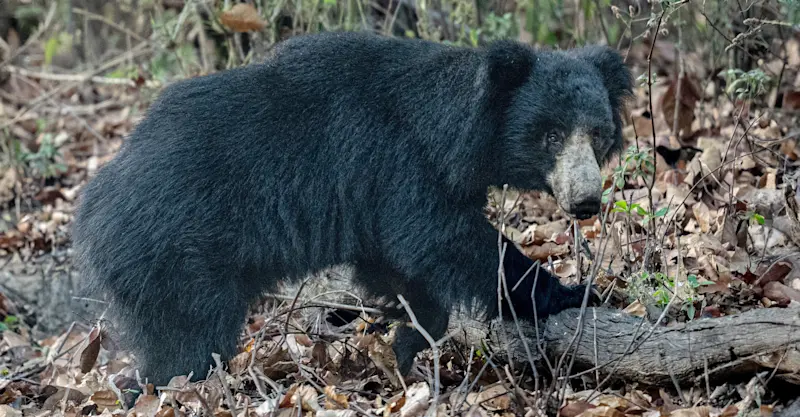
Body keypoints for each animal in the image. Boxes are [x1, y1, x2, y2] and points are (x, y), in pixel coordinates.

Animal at [71, 31, 632, 385]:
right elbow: (442, 239)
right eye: (550, 136)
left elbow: (395, 263)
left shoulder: (378, 200)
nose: (586, 201)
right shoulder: (399, 165)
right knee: (187, 345)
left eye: (598, 135)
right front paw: (574, 293)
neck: (456, 134)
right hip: (177, 258)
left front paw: (405, 341)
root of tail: (92, 207)